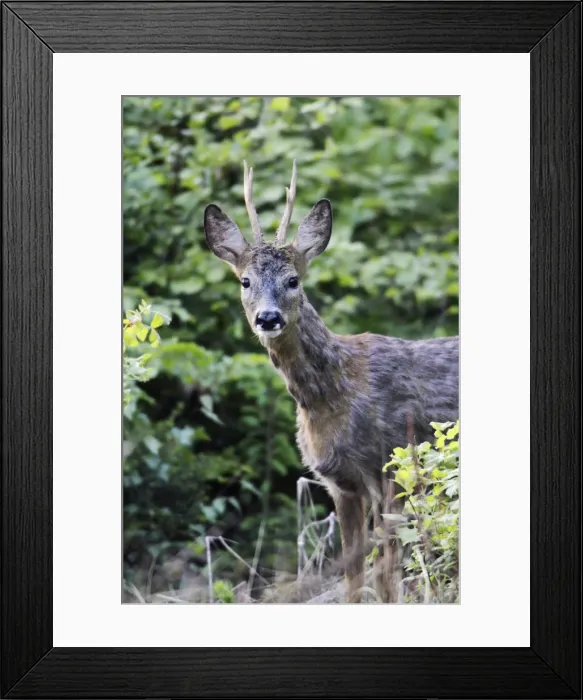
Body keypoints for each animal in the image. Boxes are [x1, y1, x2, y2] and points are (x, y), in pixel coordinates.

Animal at [203, 161, 459, 603]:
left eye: (293, 280)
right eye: (245, 281)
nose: (268, 318)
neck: (332, 394)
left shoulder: (392, 462)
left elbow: (384, 573)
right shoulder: (340, 483)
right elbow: (354, 576)